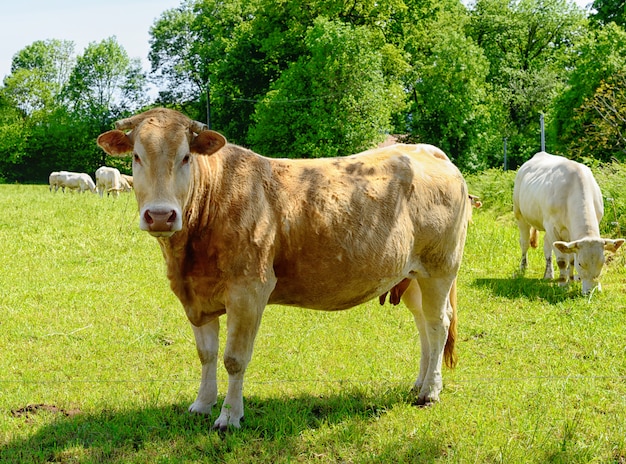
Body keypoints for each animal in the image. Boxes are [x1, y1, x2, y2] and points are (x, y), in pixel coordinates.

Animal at [96, 107, 468, 430]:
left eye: (186, 157)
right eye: (137, 156)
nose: (160, 215)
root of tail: (427, 150)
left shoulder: (249, 290)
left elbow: (234, 358)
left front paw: (229, 417)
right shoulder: (195, 295)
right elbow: (206, 354)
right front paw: (202, 404)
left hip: (440, 267)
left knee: (438, 324)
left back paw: (430, 391)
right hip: (412, 275)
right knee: (423, 325)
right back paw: (419, 382)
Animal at [510, 152, 620, 294]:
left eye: (602, 263)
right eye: (581, 263)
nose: (592, 291)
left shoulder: (571, 235)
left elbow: (571, 259)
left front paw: (571, 281)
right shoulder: (553, 228)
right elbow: (562, 261)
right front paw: (562, 284)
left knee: (547, 245)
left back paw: (548, 274)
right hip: (520, 215)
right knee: (524, 243)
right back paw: (523, 268)